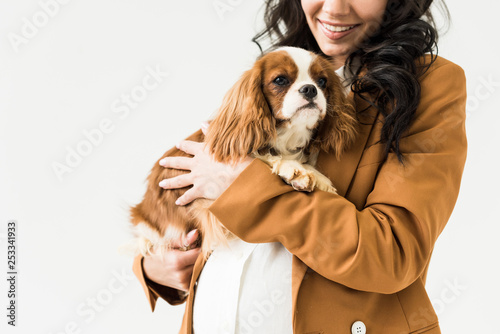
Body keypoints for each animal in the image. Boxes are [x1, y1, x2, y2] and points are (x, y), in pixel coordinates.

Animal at [127, 46, 358, 258]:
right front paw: (296, 169)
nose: (310, 89)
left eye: (322, 81)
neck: (286, 135)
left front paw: (317, 177)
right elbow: (263, 155)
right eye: (280, 80)